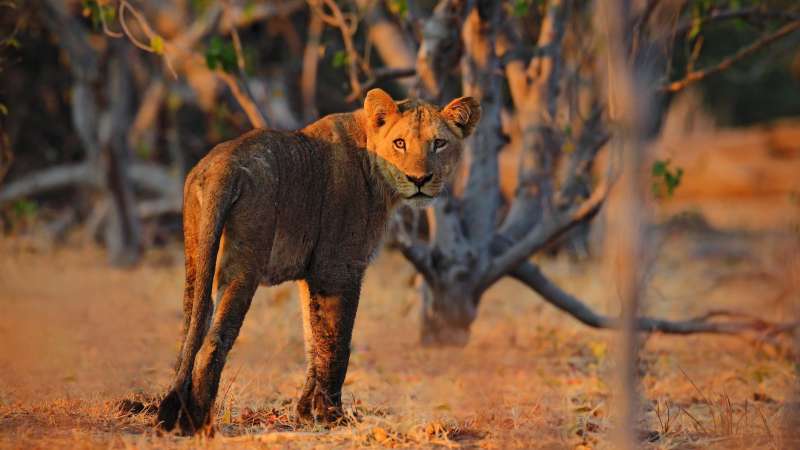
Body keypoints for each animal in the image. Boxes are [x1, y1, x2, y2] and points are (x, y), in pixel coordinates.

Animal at [155, 88, 480, 435]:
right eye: (400, 143)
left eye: (439, 143)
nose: (419, 179)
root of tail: (222, 166)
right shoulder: (338, 268)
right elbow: (337, 344)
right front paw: (331, 416)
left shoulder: (309, 274)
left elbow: (314, 340)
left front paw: (305, 413)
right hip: (245, 262)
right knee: (214, 340)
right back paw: (200, 421)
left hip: (196, 256)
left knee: (191, 328)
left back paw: (176, 414)